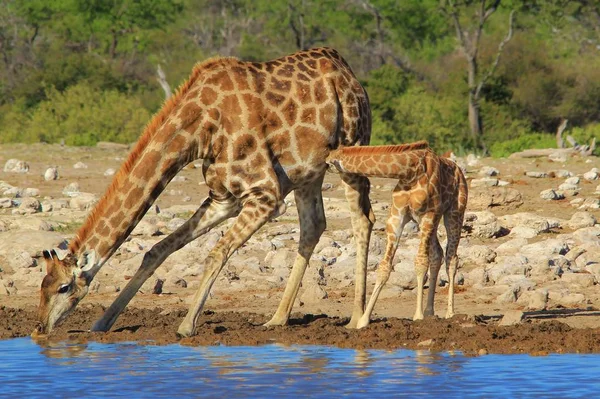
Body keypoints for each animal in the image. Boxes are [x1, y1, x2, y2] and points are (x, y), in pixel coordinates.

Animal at [34, 48, 376, 340]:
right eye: (42, 286)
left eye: (64, 287)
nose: (39, 328)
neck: (199, 130)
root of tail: (346, 68)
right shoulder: (224, 198)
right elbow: (156, 250)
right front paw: (102, 322)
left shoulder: (266, 194)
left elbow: (215, 252)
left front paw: (186, 326)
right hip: (308, 173)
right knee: (313, 225)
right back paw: (277, 318)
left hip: (352, 147)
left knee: (363, 219)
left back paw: (357, 319)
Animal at [326, 141, 466, 328]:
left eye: (329, 163)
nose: (324, 165)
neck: (409, 171)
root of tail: (460, 171)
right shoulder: (397, 217)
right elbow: (384, 267)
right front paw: (363, 320)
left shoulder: (428, 215)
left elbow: (420, 262)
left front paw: (417, 316)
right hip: (427, 222)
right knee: (438, 254)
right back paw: (430, 312)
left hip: (454, 213)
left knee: (452, 258)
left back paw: (450, 313)